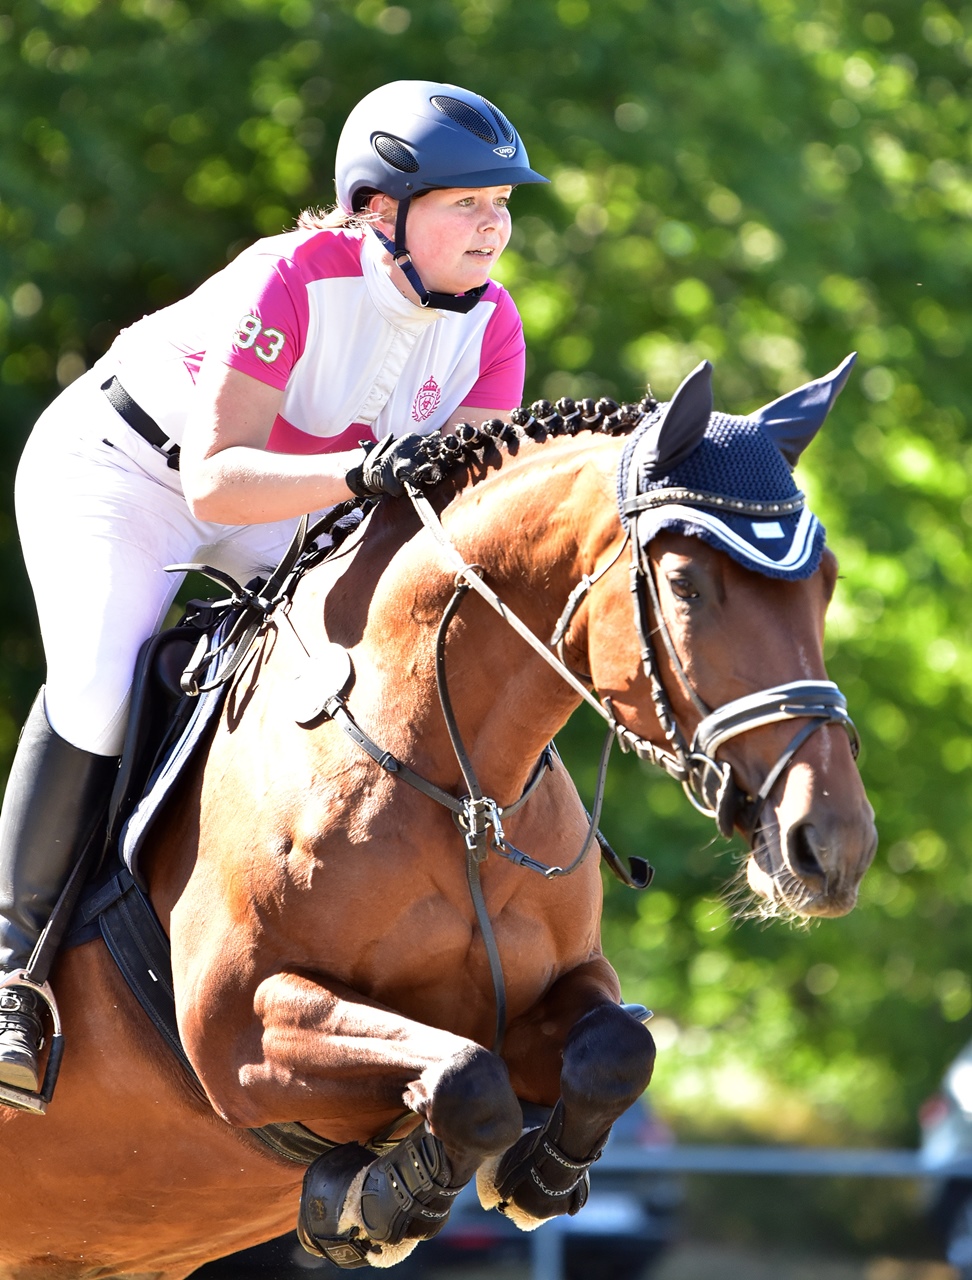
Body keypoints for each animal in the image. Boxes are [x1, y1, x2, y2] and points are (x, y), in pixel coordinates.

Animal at [0, 358, 876, 1279]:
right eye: (685, 586)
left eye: (826, 583)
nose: (833, 846)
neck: (460, 794)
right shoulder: (238, 1031)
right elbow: (466, 1078)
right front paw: (376, 1199)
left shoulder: (563, 987)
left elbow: (616, 1050)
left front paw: (534, 1177)